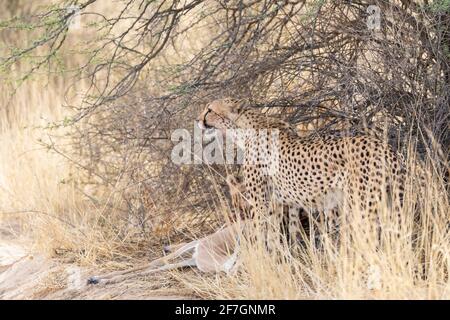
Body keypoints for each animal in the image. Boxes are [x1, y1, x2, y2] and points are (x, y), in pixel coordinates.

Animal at [199, 98, 406, 240]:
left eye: (209, 110)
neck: (242, 129)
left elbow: (260, 235)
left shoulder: (260, 202)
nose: (198, 119)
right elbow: (278, 236)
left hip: (363, 205)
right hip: (388, 200)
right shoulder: (281, 203)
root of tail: (385, 148)